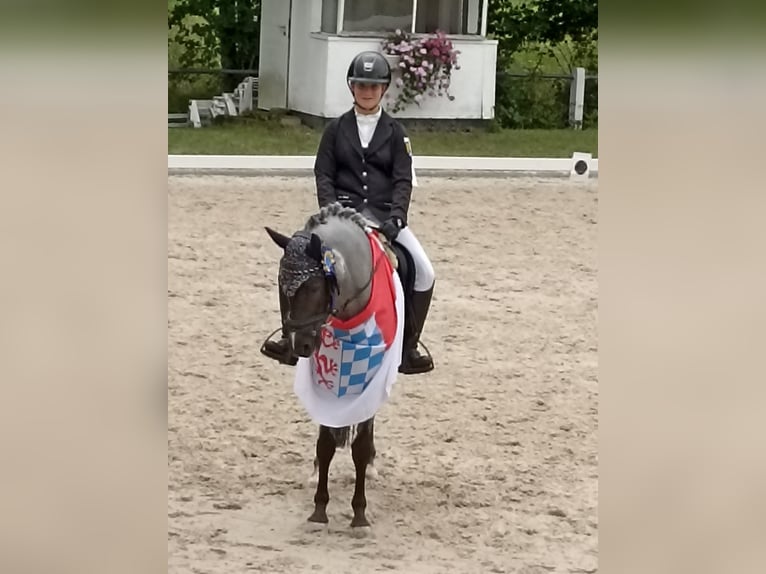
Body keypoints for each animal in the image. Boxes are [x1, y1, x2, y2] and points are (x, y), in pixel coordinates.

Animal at [264, 204, 412, 532]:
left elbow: (359, 447)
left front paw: (359, 513)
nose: (300, 345)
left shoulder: (370, 382)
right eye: (281, 285)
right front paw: (319, 508)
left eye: (314, 286)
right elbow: (325, 444)